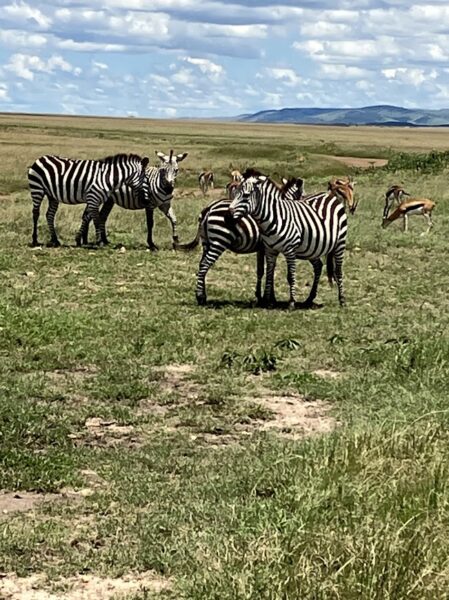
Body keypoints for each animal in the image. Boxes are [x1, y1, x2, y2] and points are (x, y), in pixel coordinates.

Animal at [173, 172, 302, 304]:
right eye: (299, 195)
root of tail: (209, 208)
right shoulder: (267, 247)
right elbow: (268, 270)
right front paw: (269, 297)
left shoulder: (262, 249)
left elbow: (261, 270)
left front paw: (260, 296)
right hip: (219, 241)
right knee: (205, 264)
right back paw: (200, 297)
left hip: (206, 242)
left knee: (201, 264)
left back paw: (203, 294)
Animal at [229, 171, 348, 308]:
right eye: (235, 193)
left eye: (246, 195)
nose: (229, 213)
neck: (274, 217)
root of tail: (330, 196)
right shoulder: (269, 250)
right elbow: (269, 273)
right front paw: (268, 300)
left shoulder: (289, 250)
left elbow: (289, 276)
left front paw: (290, 302)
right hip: (313, 248)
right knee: (318, 266)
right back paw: (309, 299)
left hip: (339, 243)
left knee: (338, 271)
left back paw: (342, 300)